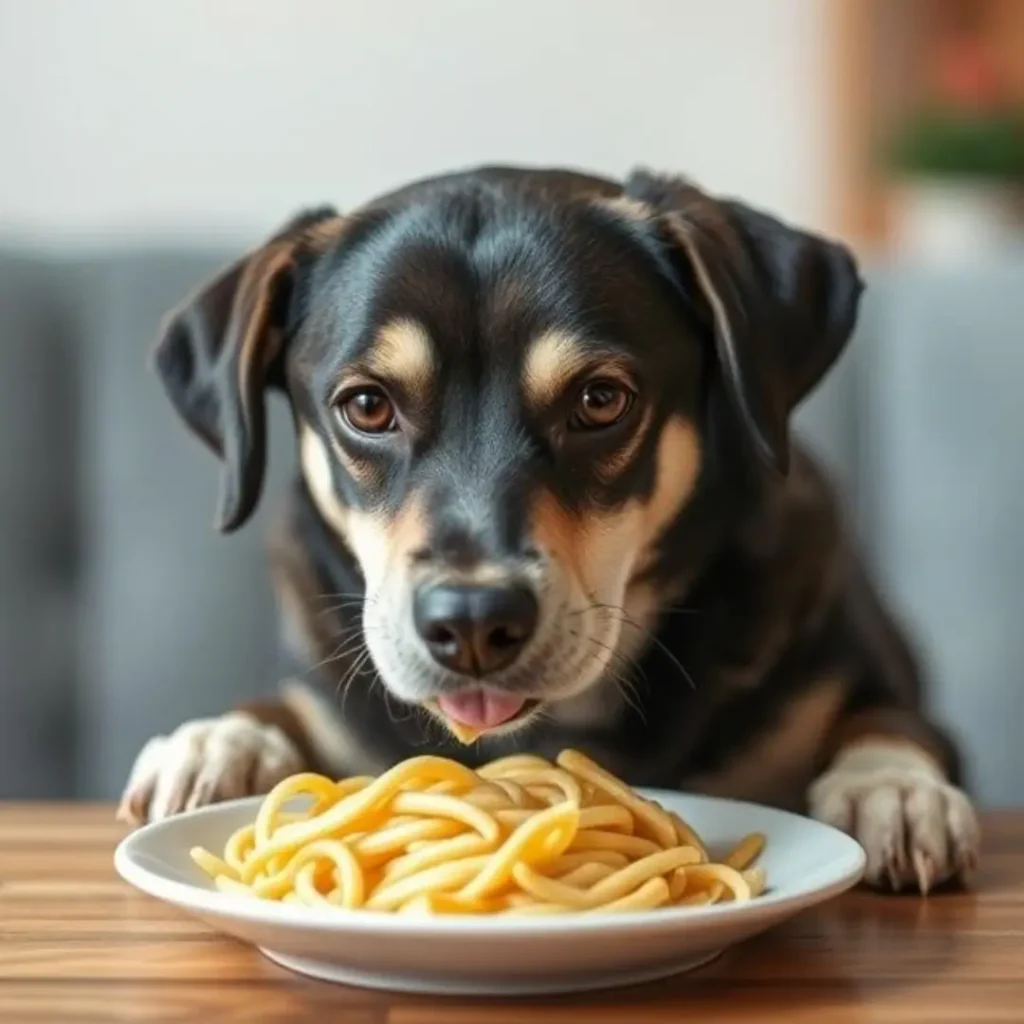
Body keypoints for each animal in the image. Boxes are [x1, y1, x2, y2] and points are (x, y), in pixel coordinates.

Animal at [121, 163, 983, 892]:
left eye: (601, 400)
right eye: (366, 406)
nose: (472, 623)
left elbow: (888, 719)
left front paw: (893, 789)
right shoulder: (334, 704)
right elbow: (280, 709)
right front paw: (217, 742)